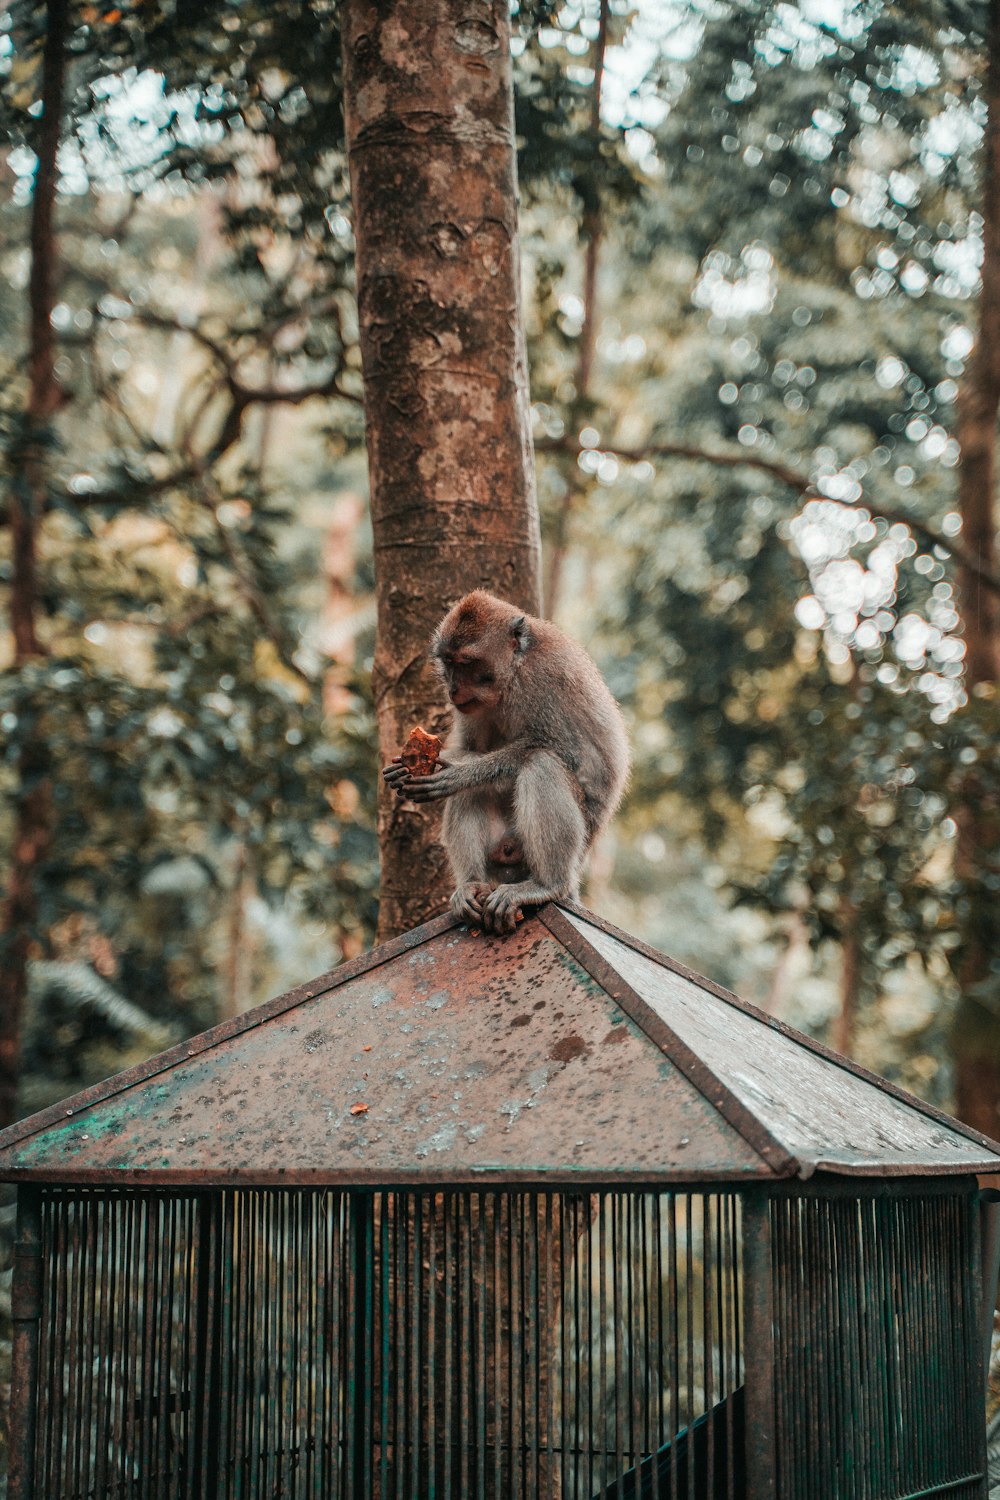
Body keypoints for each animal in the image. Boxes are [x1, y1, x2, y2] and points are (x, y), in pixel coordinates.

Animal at [379, 588, 629, 930]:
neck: (512, 674)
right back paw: (470, 886)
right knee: (472, 795)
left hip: (569, 842)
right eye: (449, 663)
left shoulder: (545, 677)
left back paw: (547, 884)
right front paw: (403, 770)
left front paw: (459, 773)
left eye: (467, 663)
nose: (452, 688)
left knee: (541, 764)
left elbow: (570, 750)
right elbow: (470, 746)